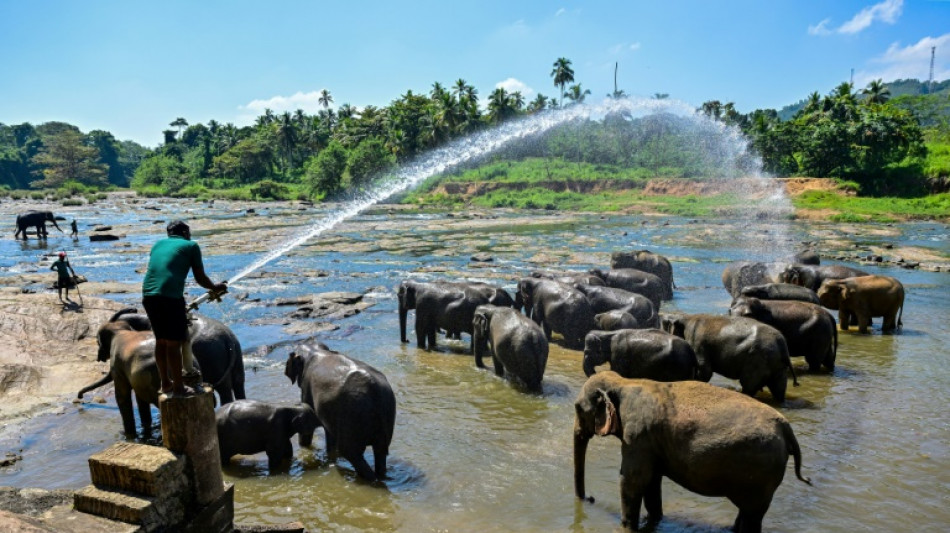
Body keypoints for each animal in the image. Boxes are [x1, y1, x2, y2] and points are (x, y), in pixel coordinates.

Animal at [286, 340, 398, 482]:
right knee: (380, 451)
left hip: (351, 416)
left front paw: (305, 447)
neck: (314, 350)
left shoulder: (307, 389)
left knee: (350, 452)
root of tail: (376, 393)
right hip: (387, 415)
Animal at [572, 370, 812, 532]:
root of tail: (786, 427)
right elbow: (651, 482)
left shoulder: (638, 436)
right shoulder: (650, 443)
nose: (590, 498)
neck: (624, 382)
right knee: (747, 513)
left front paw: (628, 527)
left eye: (577, 408)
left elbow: (631, 480)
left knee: (753, 516)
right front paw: (654, 521)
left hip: (762, 473)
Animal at [664, 314, 800, 402]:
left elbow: (705, 372)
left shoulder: (698, 342)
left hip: (758, 360)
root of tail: (782, 345)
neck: (686, 317)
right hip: (778, 365)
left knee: (748, 385)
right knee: (779, 388)